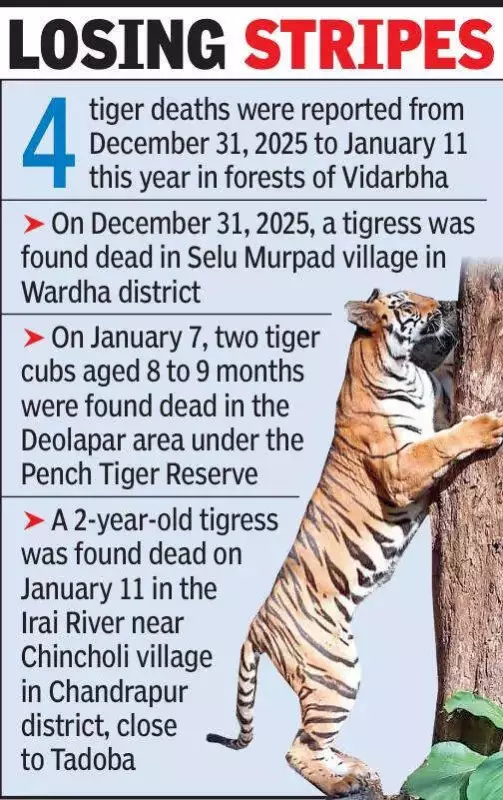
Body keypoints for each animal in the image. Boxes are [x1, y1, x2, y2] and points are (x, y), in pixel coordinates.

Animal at [207, 289, 503, 797]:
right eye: (407, 303)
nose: (443, 303)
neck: (404, 369)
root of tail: (257, 624)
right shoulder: (405, 464)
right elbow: (445, 441)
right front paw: (489, 424)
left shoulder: (434, 411)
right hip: (336, 672)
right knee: (298, 749)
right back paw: (348, 782)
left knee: (313, 743)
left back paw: (359, 769)